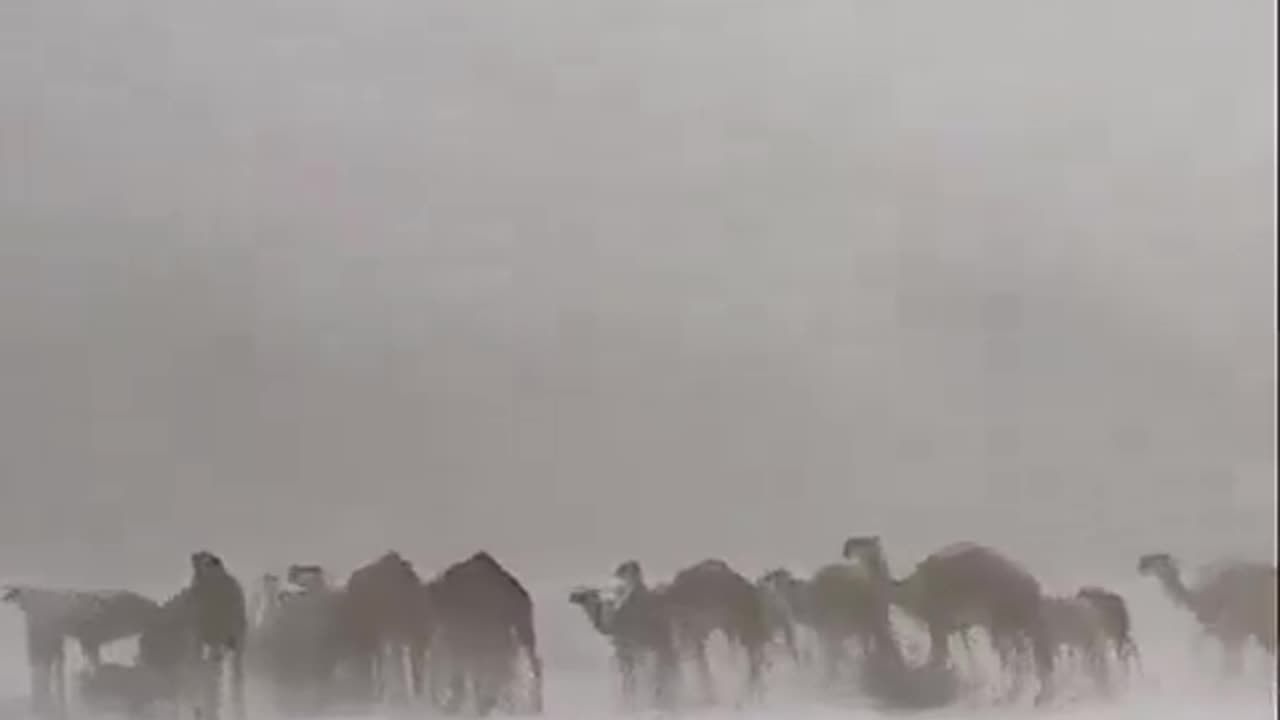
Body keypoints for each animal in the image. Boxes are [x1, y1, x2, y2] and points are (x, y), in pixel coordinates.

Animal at [834, 535, 1054, 702]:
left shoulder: (937, 622)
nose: (846, 547)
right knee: (1030, 658)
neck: (911, 592)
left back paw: (1013, 695)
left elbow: (938, 660)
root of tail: (1034, 587)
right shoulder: (953, 627)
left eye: (863, 541)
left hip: (1004, 618)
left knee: (1020, 659)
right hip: (1016, 622)